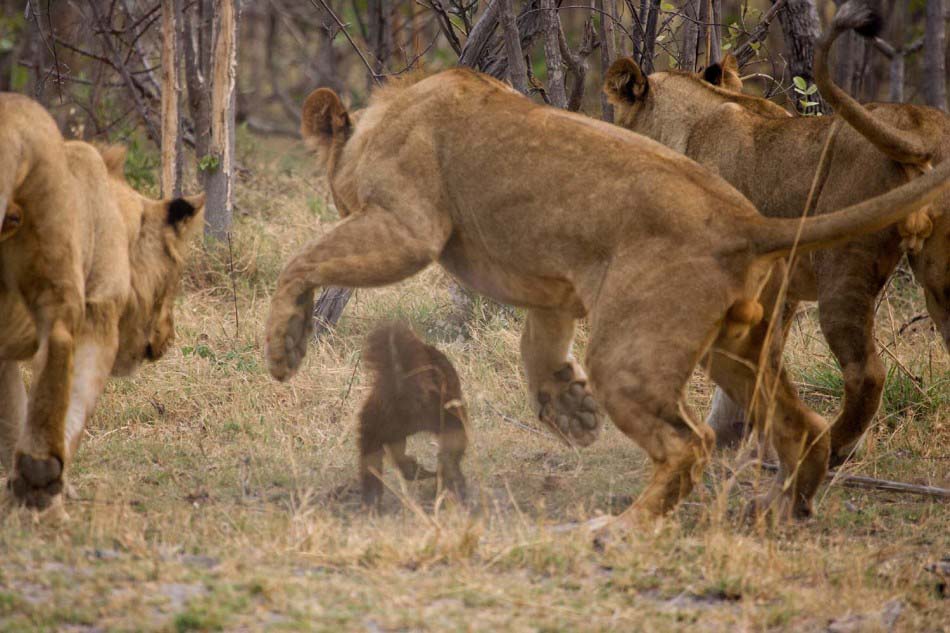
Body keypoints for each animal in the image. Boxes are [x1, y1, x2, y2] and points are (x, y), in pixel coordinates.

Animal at [0, 92, 205, 514]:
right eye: (175, 273)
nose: (169, 338)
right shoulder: (99, 310)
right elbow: (71, 407)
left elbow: (12, 413)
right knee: (58, 345)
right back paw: (42, 479)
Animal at [358, 322, 467, 507]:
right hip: (441, 415)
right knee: (451, 448)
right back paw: (450, 483)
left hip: (378, 422)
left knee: (372, 458)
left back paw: (372, 499)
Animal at [603, 3, 950, 467]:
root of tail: (919, 123)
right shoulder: (777, 288)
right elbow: (761, 360)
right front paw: (735, 438)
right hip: (938, 278)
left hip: (844, 264)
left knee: (868, 373)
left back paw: (828, 449)